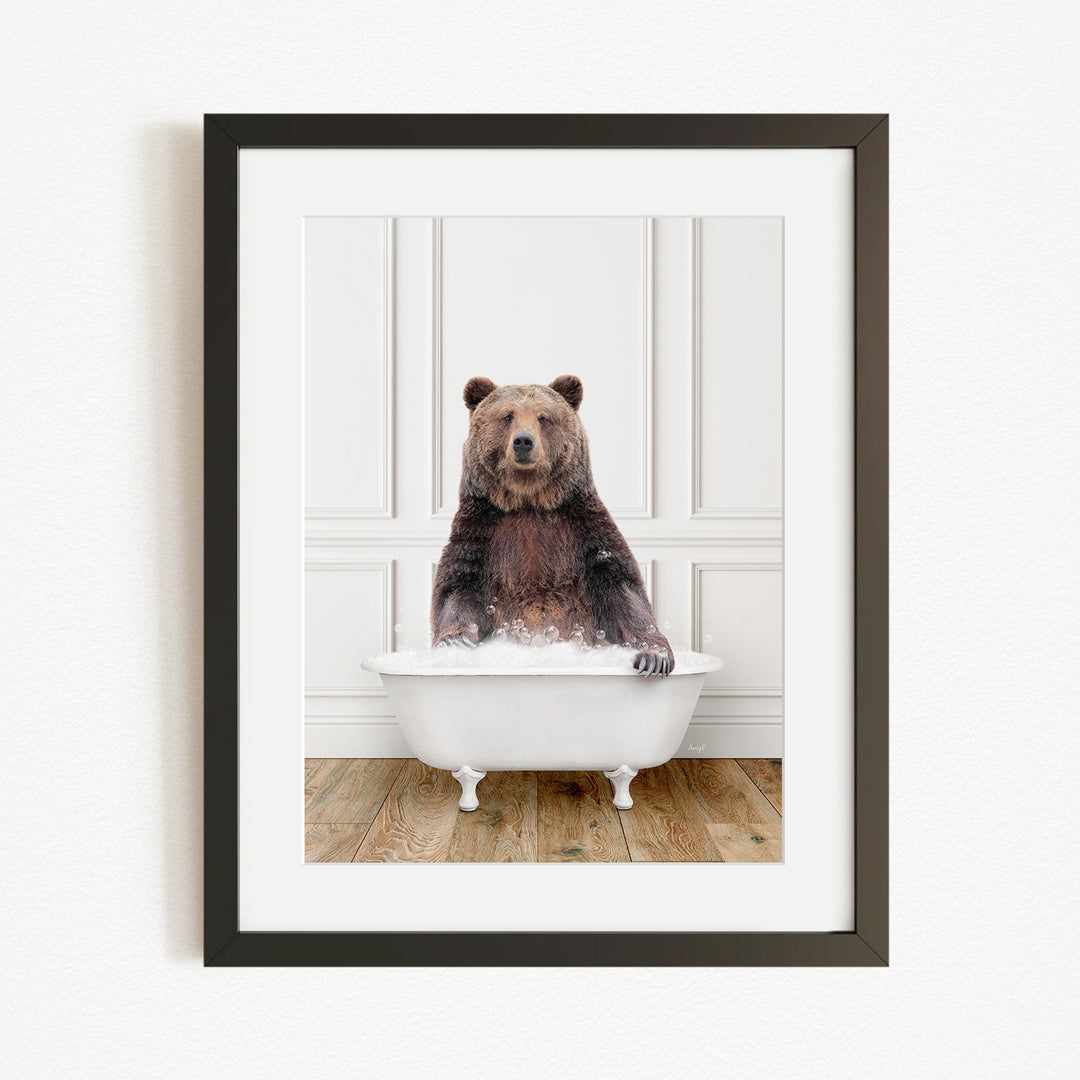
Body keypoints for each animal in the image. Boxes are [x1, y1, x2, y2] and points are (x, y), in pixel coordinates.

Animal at [431, 374, 675, 676]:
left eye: (544, 417)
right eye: (507, 416)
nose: (523, 441)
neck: (529, 501)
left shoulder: (583, 529)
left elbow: (622, 588)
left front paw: (654, 657)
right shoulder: (481, 532)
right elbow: (457, 587)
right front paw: (456, 642)